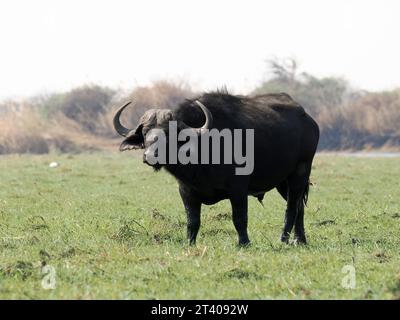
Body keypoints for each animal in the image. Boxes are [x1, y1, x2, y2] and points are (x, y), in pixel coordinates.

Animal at [112, 91, 318, 246]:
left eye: (169, 133)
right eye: (145, 132)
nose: (149, 156)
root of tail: (308, 120)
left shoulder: (238, 189)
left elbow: (239, 218)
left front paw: (244, 243)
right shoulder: (186, 192)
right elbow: (193, 221)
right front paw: (190, 243)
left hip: (300, 172)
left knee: (291, 207)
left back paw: (284, 239)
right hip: (283, 181)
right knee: (299, 206)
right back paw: (300, 240)